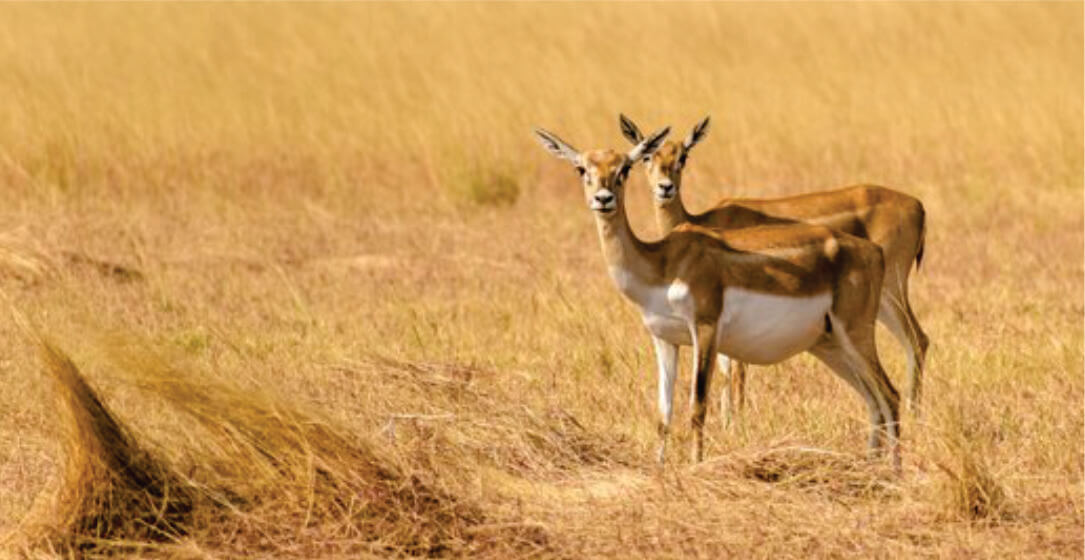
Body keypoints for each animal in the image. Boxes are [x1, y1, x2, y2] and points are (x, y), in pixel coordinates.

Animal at [534, 125, 901, 468]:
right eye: (581, 168)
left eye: (624, 167)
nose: (604, 198)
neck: (663, 263)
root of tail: (873, 251)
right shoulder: (664, 339)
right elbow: (663, 415)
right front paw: (659, 468)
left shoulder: (705, 329)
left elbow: (697, 405)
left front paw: (695, 466)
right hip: (828, 346)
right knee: (873, 401)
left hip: (854, 334)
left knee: (890, 395)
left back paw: (894, 474)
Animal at [619, 114, 929, 424]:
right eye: (648, 155)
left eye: (683, 156)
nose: (665, 187)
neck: (703, 221)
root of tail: (918, 205)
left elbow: (736, 366)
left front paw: (735, 422)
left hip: (890, 291)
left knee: (916, 340)